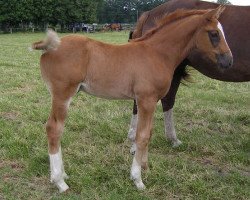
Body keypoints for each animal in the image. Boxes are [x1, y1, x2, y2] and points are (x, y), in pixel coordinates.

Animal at [31, 7, 232, 193]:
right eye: (214, 33)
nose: (229, 61)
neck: (157, 53)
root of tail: (49, 47)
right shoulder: (146, 100)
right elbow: (141, 136)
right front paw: (137, 179)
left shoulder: (151, 101)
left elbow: (148, 133)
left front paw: (145, 166)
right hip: (62, 95)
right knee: (54, 128)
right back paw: (59, 181)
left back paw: (63, 174)